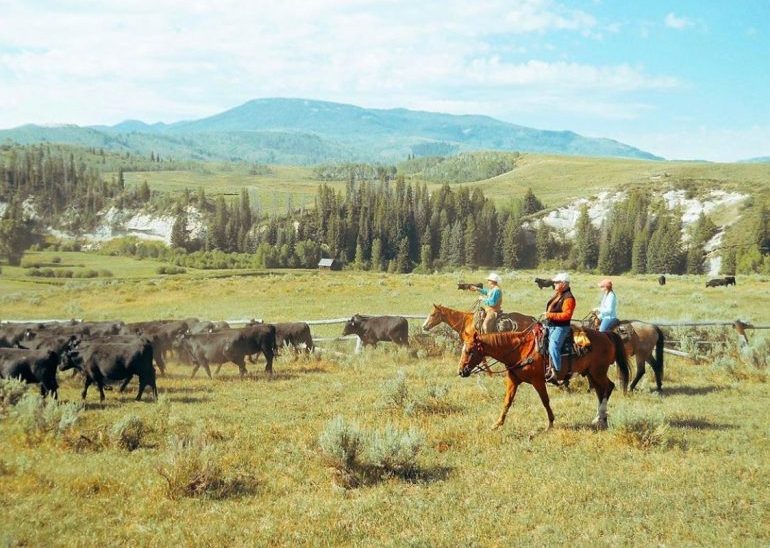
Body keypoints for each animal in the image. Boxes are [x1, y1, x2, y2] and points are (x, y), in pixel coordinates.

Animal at [460, 328, 628, 430]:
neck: (520, 351)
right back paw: (600, 419)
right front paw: (497, 424)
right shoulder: (513, 380)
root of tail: (606, 334)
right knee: (601, 391)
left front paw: (550, 423)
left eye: (469, 351)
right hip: (591, 374)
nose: (461, 371)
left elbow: (545, 401)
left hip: (598, 372)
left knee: (608, 387)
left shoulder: (538, 381)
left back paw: (601, 417)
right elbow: (507, 401)